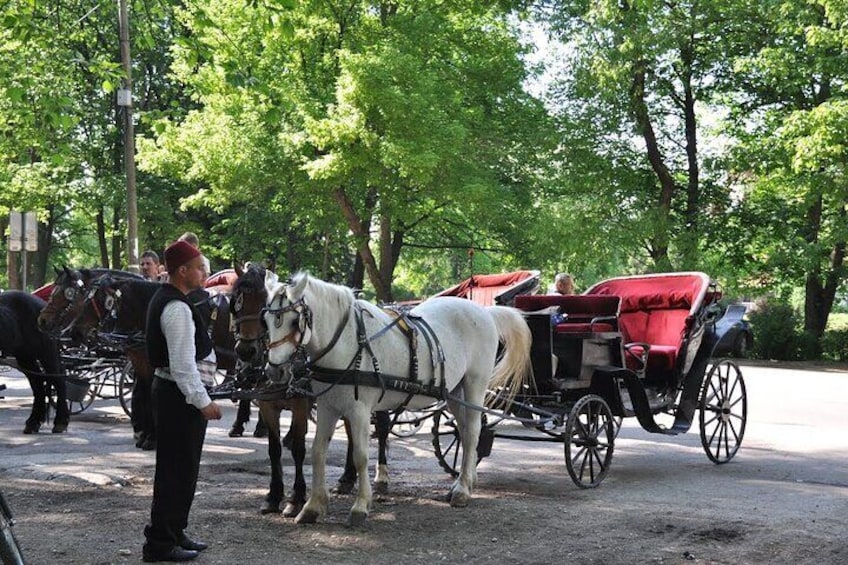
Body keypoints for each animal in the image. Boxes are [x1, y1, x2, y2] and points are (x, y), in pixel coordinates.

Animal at [0, 290, 68, 432]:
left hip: (46, 353)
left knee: (57, 379)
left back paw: (60, 422)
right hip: (26, 356)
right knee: (37, 383)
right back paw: (33, 422)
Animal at [264, 272, 528, 524]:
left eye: (293, 321)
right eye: (266, 321)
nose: (274, 371)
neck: (347, 341)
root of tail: (484, 311)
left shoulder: (359, 410)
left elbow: (360, 456)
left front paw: (360, 506)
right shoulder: (328, 407)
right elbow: (318, 451)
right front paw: (313, 507)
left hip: (475, 384)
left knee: (472, 432)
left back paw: (462, 490)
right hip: (454, 392)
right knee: (463, 432)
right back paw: (466, 480)